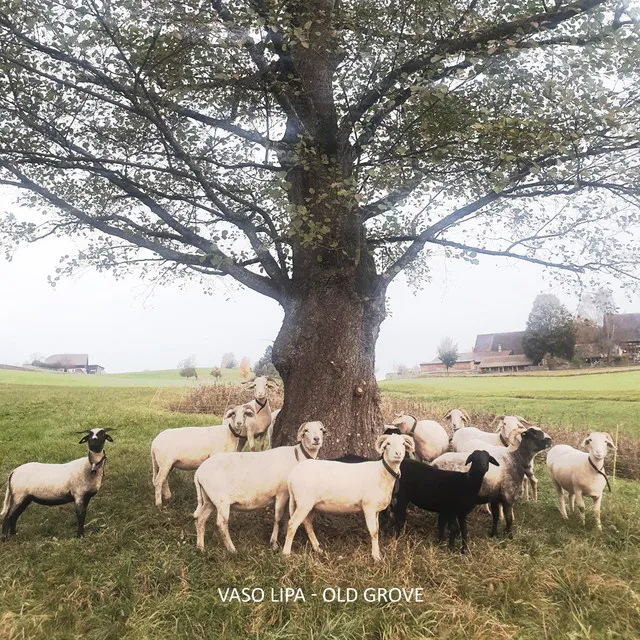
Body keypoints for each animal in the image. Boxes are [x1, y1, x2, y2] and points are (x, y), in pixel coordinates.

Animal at [192, 420, 324, 552]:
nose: (316, 439)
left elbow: (287, 516)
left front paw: (284, 533)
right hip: (221, 500)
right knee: (221, 523)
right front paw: (274, 543)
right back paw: (232, 549)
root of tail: (198, 473)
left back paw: (200, 547)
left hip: (209, 498)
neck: (297, 457)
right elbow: (278, 517)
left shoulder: (288, 497)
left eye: (321, 429)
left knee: (201, 519)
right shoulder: (282, 493)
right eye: (306, 430)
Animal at [284, 432, 416, 564]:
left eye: (403, 444)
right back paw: (286, 553)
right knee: (292, 524)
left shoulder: (376, 510)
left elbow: (377, 529)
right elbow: (373, 532)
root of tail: (292, 475)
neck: (381, 472)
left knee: (307, 523)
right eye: (388, 443)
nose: (398, 454)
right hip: (304, 503)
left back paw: (317, 548)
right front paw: (376, 557)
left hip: (310, 504)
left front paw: (377, 554)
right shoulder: (369, 507)